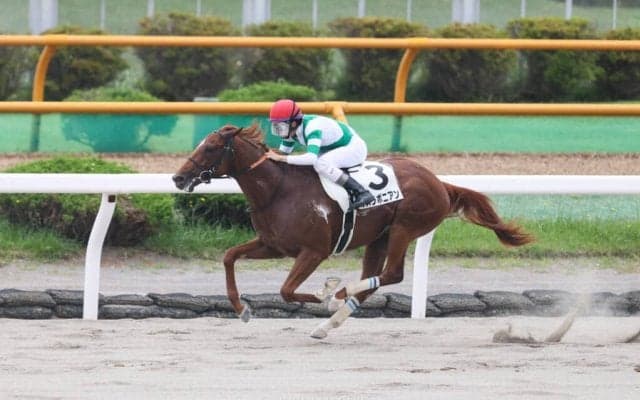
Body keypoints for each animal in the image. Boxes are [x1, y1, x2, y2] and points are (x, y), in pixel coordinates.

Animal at [173, 124, 534, 339]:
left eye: (210, 147)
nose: (178, 178)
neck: (278, 190)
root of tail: (440, 183)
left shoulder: (314, 251)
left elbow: (287, 290)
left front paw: (326, 292)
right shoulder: (273, 245)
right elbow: (229, 257)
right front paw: (241, 309)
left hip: (404, 227)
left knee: (392, 274)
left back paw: (338, 298)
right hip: (379, 237)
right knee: (376, 278)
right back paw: (329, 322)